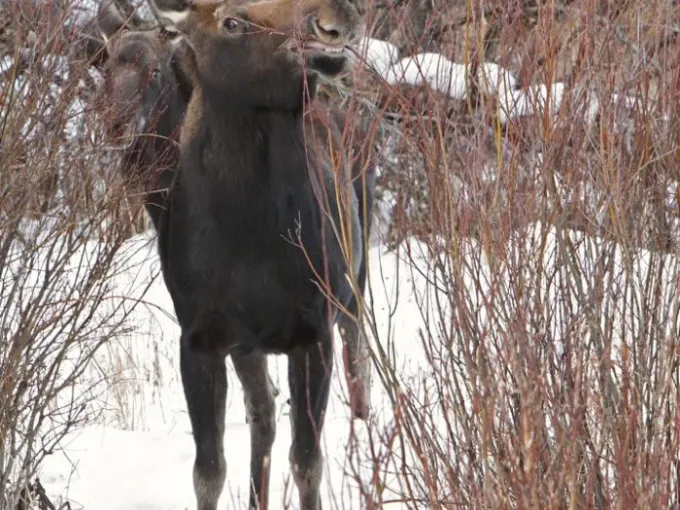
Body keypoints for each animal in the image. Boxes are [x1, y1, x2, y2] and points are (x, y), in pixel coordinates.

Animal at [99, 2, 374, 508]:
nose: (336, 19)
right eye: (105, 68)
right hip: (252, 344)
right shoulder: (202, 338)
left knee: (359, 364)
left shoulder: (314, 332)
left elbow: (308, 464)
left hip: (353, 288)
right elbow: (208, 470)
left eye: (153, 72)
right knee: (263, 410)